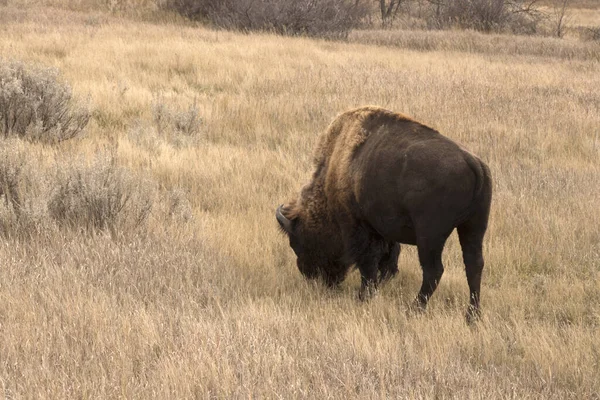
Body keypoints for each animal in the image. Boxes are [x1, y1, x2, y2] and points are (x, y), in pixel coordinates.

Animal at [276, 106, 492, 322]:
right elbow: (387, 259)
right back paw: (472, 316)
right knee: (474, 265)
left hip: (430, 236)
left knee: (434, 270)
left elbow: (368, 263)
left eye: (297, 242)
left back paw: (413, 309)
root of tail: (473, 162)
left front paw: (364, 296)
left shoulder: (360, 229)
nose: (309, 274)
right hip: (473, 227)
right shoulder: (383, 231)